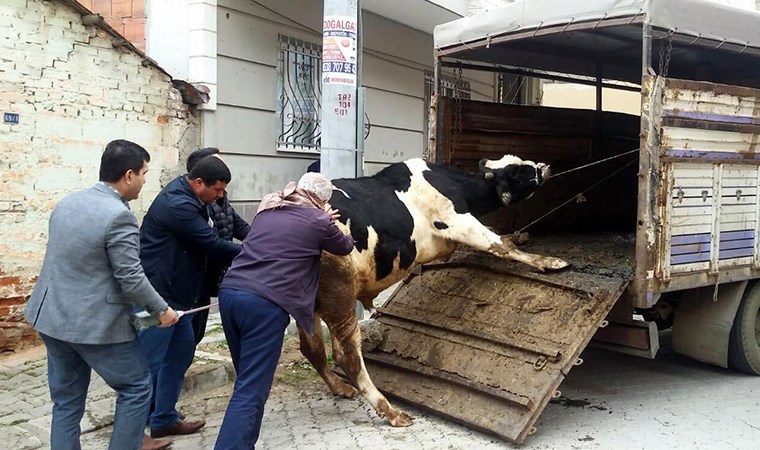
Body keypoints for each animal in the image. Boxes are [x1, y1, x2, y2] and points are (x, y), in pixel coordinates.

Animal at [294, 156, 568, 428]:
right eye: (518, 172)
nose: (543, 166)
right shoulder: (458, 221)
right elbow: (501, 245)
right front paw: (549, 262)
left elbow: (503, 239)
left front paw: (522, 235)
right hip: (339, 295)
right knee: (347, 356)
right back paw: (392, 412)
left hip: (308, 306)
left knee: (312, 349)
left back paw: (340, 388)